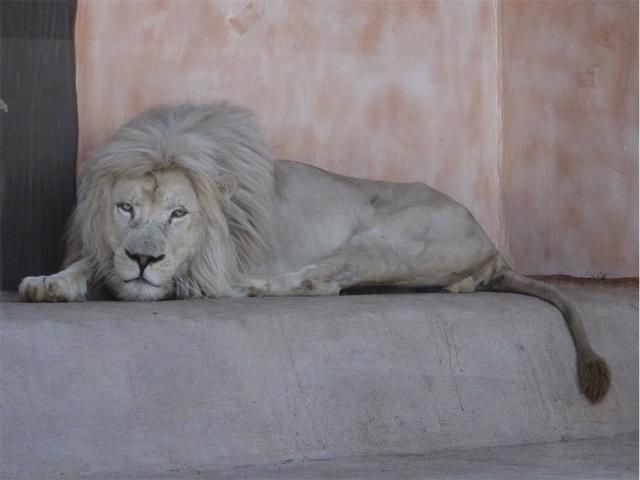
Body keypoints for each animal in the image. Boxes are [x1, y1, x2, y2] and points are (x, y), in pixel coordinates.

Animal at [19, 102, 610, 402]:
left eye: (178, 214)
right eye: (125, 209)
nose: (144, 260)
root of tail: (491, 243)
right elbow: (87, 262)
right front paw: (50, 283)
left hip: (385, 239)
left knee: (320, 281)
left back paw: (254, 288)